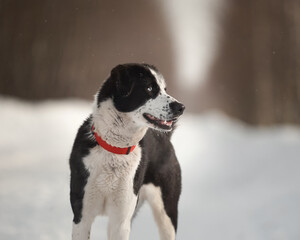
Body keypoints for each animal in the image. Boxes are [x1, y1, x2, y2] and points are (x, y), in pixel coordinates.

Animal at [69, 62, 184, 239]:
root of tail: (165, 138)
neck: (115, 148)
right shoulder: (82, 215)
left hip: (166, 212)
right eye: (150, 88)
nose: (181, 107)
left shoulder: (121, 220)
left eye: (164, 89)